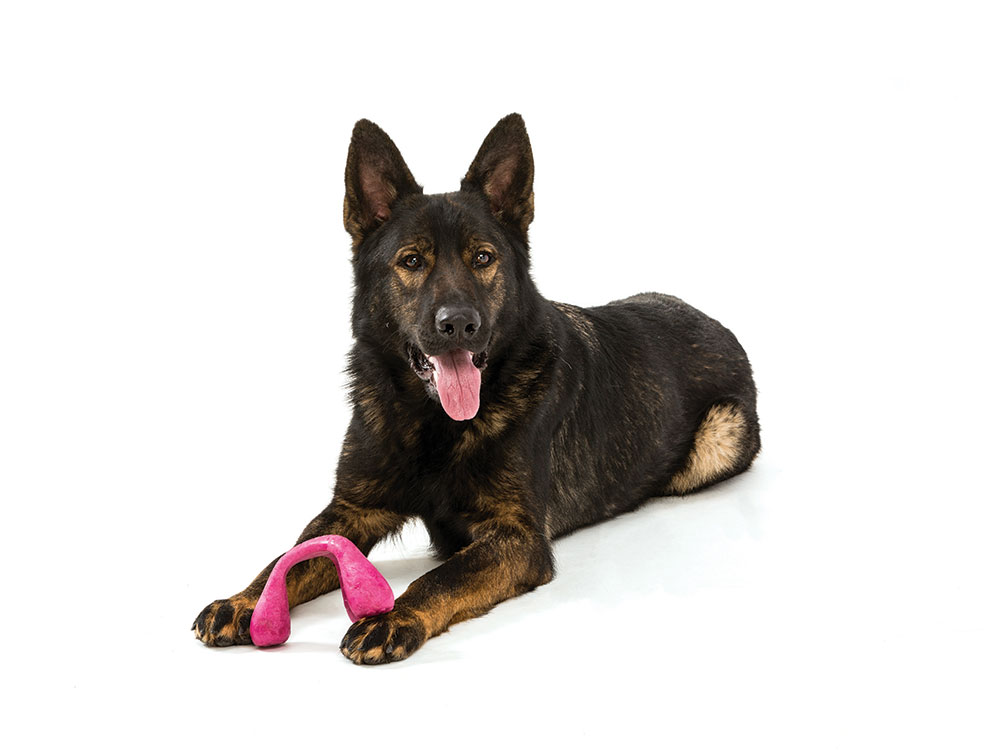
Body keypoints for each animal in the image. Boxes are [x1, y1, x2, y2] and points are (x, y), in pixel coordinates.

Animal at [193, 114, 761, 663]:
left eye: (483, 258)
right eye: (412, 261)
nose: (459, 324)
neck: (432, 421)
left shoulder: (516, 536)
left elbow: (443, 577)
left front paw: (395, 616)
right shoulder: (350, 510)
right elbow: (283, 561)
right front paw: (243, 602)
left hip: (718, 440)